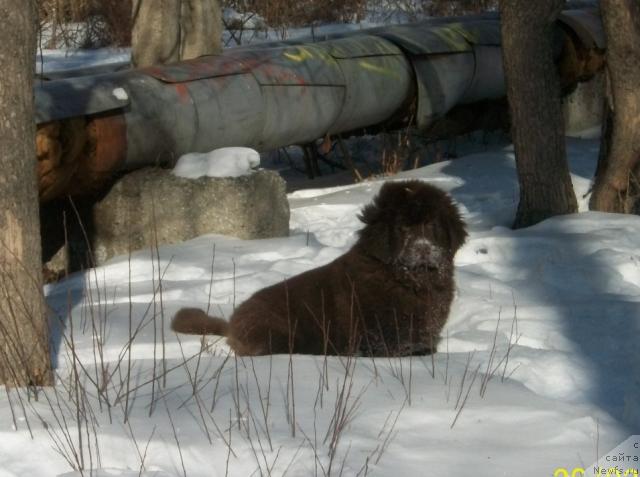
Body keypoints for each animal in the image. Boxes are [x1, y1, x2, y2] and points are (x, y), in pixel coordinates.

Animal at [172, 180, 468, 356]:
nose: (423, 249)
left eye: (431, 225)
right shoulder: (382, 340)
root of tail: (232, 322)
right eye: (403, 228)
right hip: (278, 332)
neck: (409, 280)